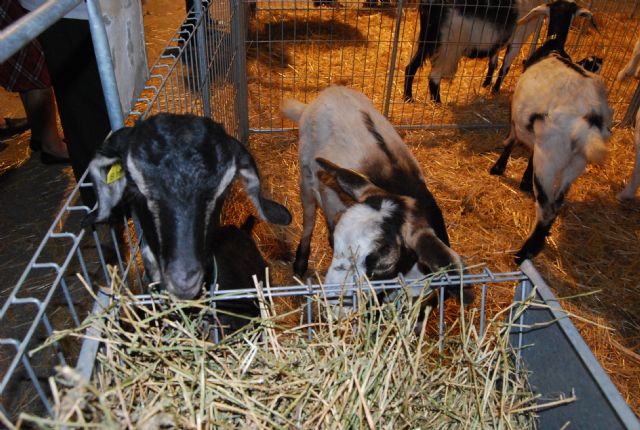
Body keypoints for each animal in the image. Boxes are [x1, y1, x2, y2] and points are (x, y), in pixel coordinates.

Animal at [282, 85, 472, 304]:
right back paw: (300, 261)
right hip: (306, 175)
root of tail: (330, 91)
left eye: (385, 265)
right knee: (309, 217)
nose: (335, 300)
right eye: (335, 244)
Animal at [402, 0, 544, 103]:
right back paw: (438, 104)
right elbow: (504, 68)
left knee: (410, 67)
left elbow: (493, 62)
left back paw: (408, 98)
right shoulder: (519, 36)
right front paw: (495, 90)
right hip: (448, 46)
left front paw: (486, 84)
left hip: (428, 39)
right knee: (434, 77)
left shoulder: (497, 40)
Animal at [490, 0, 616, 264]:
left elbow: (511, 139)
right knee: (557, 203)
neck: (553, 48)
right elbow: (529, 155)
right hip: (575, 162)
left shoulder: (517, 115)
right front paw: (524, 179)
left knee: (547, 208)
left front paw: (498, 167)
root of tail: (588, 120)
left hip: (551, 157)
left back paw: (523, 253)